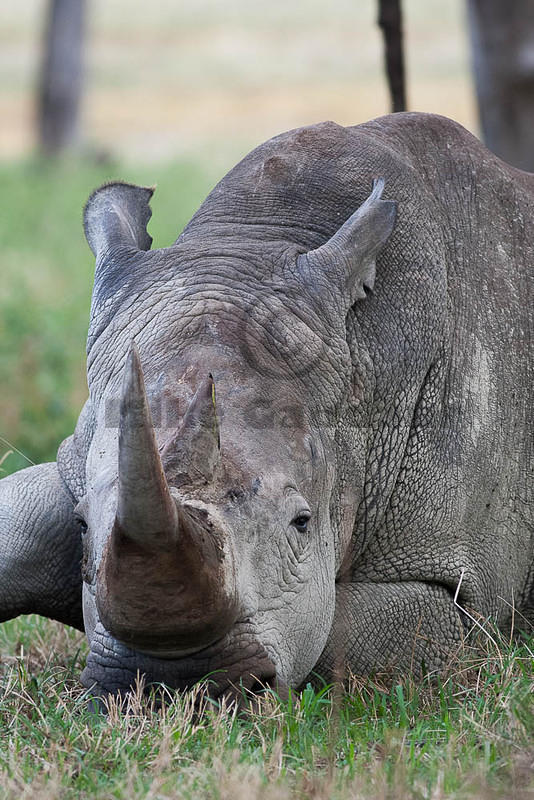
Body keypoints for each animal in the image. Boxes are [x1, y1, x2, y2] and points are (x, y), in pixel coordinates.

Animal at [1, 112, 534, 700]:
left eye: (303, 523)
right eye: (81, 525)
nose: (173, 681)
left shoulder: (458, 585)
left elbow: (335, 638)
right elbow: (18, 520)